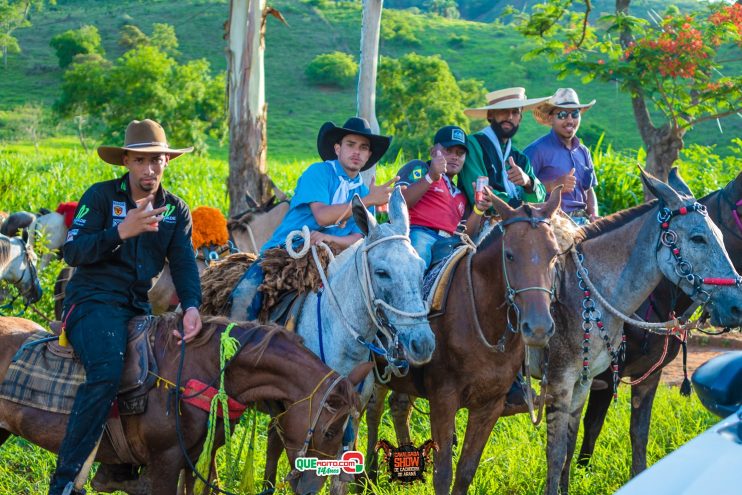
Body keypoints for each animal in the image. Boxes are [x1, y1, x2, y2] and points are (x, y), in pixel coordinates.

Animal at [366, 192, 564, 494]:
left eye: (554, 254)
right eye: (509, 255)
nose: (539, 327)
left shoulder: (489, 407)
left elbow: (465, 472)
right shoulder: (443, 401)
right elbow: (443, 474)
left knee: (399, 407)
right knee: (373, 413)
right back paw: (367, 475)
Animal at [544, 169, 742, 494]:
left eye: (722, 237)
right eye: (698, 238)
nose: (736, 306)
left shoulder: (649, 377)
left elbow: (638, 435)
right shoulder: (599, 378)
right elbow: (587, 429)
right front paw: (579, 473)